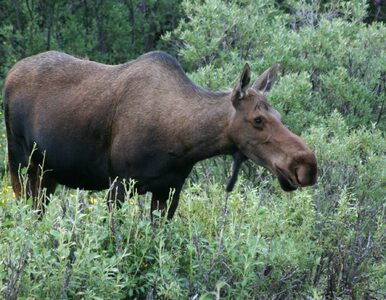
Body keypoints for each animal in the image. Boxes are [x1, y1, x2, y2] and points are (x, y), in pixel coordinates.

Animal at [3, 51, 316, 218]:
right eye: (258, 119)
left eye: (280, 116)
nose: (307, 166)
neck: (184, 144)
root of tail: (9, 74)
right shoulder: (119, 183)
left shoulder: (169, 189)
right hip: (19, 161)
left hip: (49, 172)